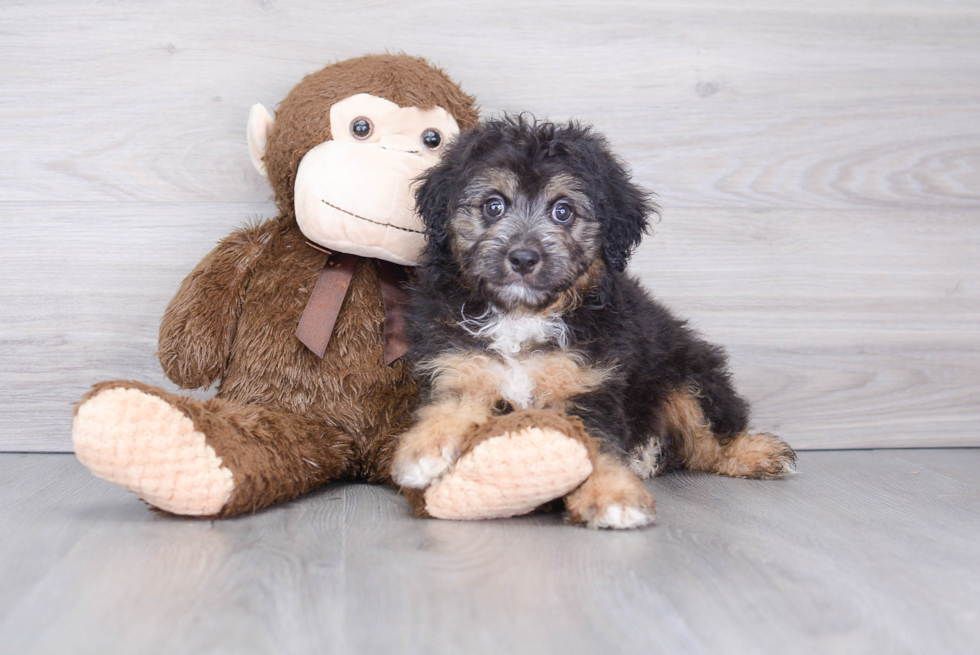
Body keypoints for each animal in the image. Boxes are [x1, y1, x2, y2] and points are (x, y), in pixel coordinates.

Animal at [390, 115, 796, 532]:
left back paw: (752, 452)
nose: (523, 258)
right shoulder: (458, 365)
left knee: (707, 438)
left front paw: (612, 495)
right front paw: (423, 450)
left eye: (563, 211)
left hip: (687, 373)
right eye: (493, 205)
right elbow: (449, 406)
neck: (521, 315)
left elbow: (598, 442)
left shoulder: (588, 384)